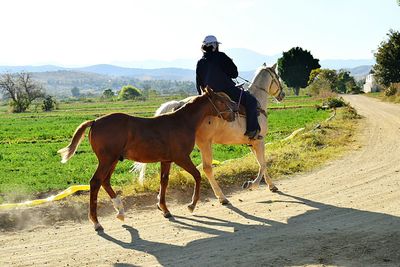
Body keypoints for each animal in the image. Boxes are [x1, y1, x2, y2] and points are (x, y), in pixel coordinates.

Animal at [57, 87, 236, 230]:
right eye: (221, 100)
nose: (234, 110)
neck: (182, 122)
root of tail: (94, 122)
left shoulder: (166, 160)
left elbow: (164, 181)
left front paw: (164, 209)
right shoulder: (181, 157)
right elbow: (197, 176)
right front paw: (191, 205)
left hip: (112, 160)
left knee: (105, 181)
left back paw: (120, 211)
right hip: (107, 160)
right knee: (95, 182)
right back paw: (96, 222)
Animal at [135, 63, 284, 205]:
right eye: (278, 76)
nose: (282, 95)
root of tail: (181, 104)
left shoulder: (252, 143)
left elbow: (260, 162)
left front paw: (271, 185)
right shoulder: (260, 141)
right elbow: (263, 164)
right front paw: (251, 184)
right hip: (204, 143)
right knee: (207, 168)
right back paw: (222, 197)